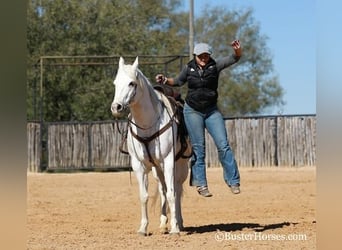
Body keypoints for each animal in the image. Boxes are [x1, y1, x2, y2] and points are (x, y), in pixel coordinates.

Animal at [111, 57, 191, 236]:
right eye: (115, 83)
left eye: (131, 83)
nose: (116, 107)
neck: (148, 124)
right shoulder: (138, 165)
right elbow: (144, 196)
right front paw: (143, 228)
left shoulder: (168, 161)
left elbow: (172, 194)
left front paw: (175, 228)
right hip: (157, 169)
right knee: (163, 189)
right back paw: (163, 224)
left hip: (181, 165)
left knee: (177, 189)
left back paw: (179, 222)